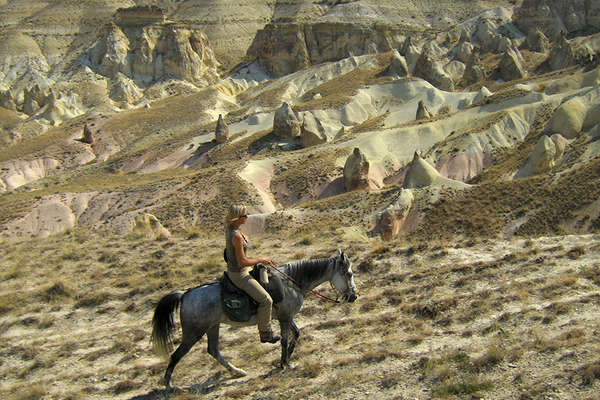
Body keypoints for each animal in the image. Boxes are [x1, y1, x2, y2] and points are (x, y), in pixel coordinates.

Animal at [151, 250, 356, 388]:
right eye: (349, 273)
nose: (354, 296)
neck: (291, 283)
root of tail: (185, 294)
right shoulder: (285, 318)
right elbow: (284, 339)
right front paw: (286, 363)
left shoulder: (285, 316)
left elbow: (296, 334)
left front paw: (287, 358)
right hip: (193, 332)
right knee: (176, 355)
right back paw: (168, 385)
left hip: (213, 327)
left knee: (213, 350)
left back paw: (237, 372)